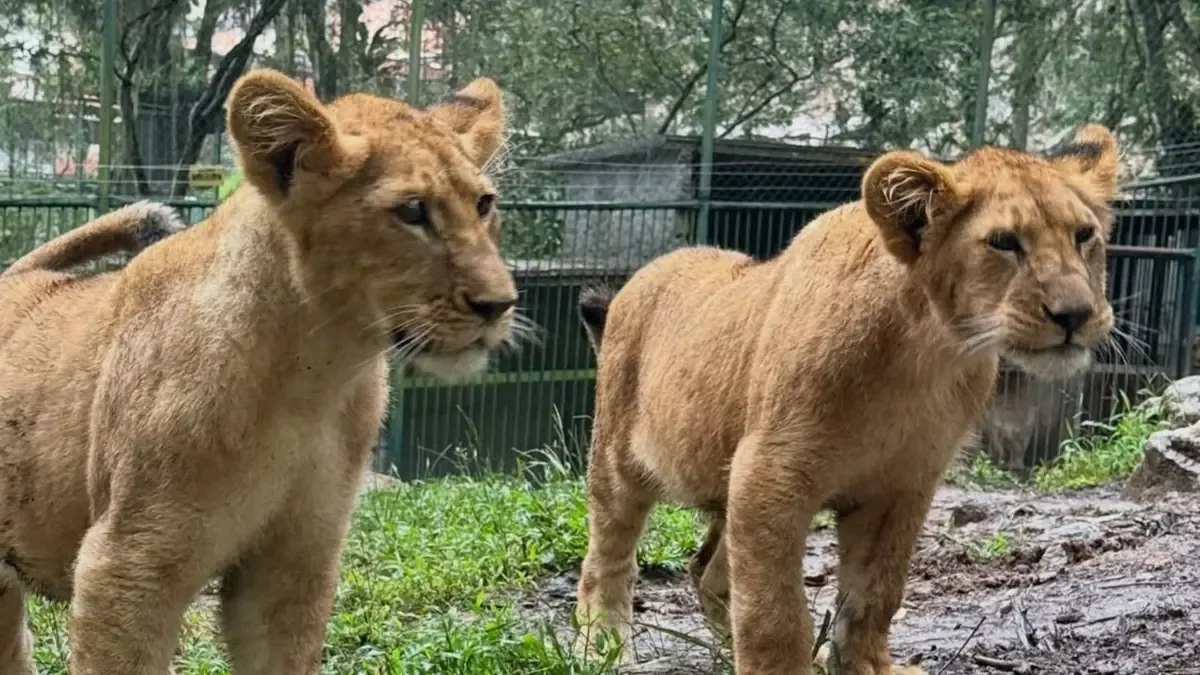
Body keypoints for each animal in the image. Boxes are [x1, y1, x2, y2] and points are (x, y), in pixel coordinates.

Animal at [0, 68, 518, 675]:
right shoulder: (126, 565)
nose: (500, 305)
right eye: (412, 211)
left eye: (483, 204)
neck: (316, 373)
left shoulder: (294, 565)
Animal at [573, 125, 1120, 675]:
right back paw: (603, 645)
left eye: (1083, 236)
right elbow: (774, 609)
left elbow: (875, 596)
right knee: (606, 556)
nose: (1075, 314)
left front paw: (867, 666)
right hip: (618, 460)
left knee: (706, 572)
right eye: (1004, 242)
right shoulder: (767, 474)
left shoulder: (902, 485)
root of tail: (634, 284)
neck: (927, 356)